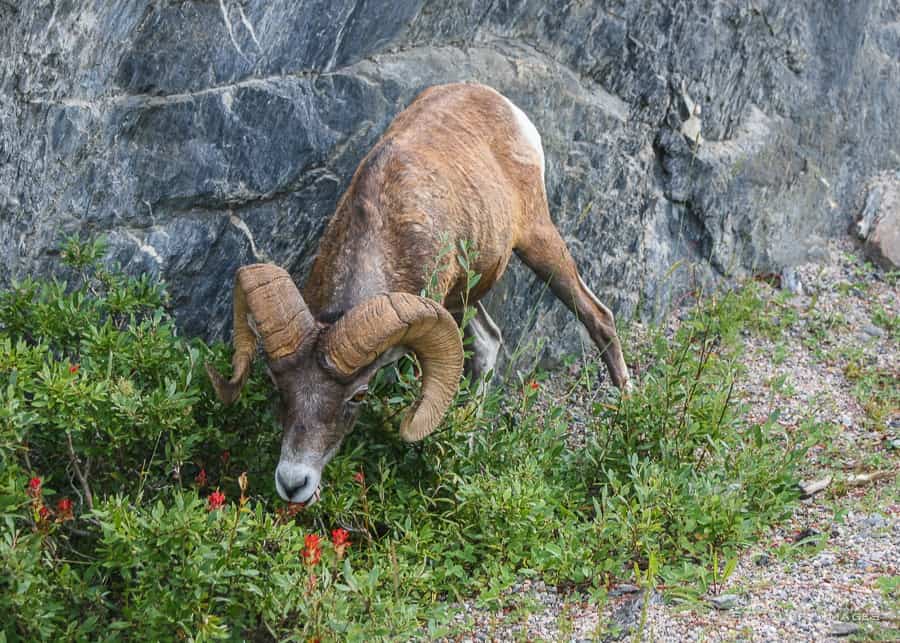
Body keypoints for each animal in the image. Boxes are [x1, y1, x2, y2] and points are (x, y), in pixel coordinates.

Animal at [207, 83, 628, 508]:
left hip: (537, 242)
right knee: (489, 342)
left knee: (599, 318)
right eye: (278, 386)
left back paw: (627, 410)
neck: (381, 231)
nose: (294, 483)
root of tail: (502, 104)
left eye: (358, 396)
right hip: (463, 297)